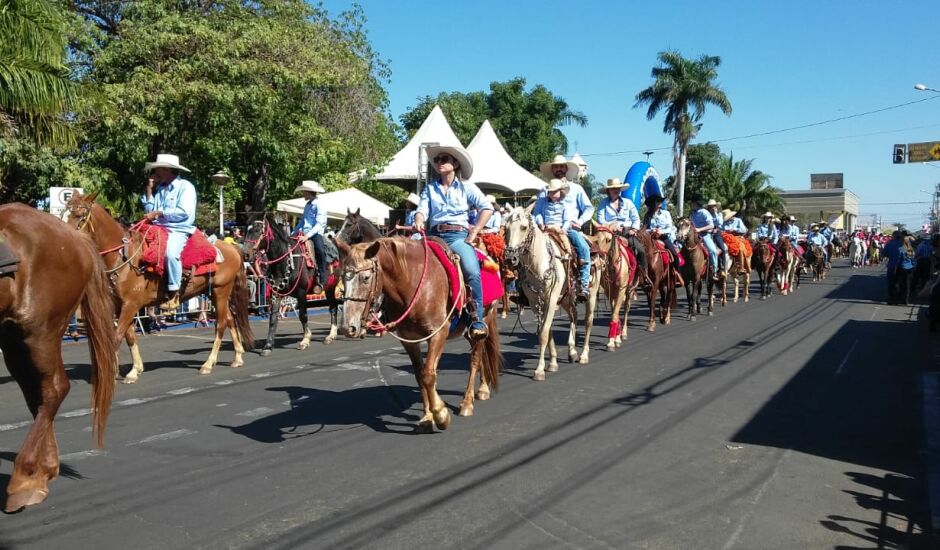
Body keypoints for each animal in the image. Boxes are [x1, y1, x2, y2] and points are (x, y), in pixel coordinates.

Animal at [0, 205, 117, 516]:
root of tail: (75, 237)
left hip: (38, 329)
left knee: (54, 389)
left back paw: (24, 479)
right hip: (13, 336)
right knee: (38, 394)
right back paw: (41, 473)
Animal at [63, 192, 255, 382]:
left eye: (80, 215)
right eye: (64, 214)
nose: (66, 241)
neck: (124, 258)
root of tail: (233, 249)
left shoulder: (131, 305)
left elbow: (117, 336)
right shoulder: (120, 306)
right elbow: (129, 336)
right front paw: (135, 370)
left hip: (221, 291)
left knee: (221, 324)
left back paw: (208, 364)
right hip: (213, 294)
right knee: (230, 319)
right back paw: (237, 357)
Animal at [336, 237, 500, 432]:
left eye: (365, 278)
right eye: (342, 278)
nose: (348, 327)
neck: (413, 284)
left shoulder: (438, 334)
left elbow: (428, 374)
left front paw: (441, 414)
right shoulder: (409, 340)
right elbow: (420, 375)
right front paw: (427, 417)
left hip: (483, 320)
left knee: (475, 358)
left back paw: (468, 402)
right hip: (468, 332)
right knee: (481, 356)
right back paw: (482, 389)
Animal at [504, 209, 600, 382]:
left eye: (523, 227)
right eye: (505, 228)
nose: (510, 258)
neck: (539, 264)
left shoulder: (551, 299)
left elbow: (543, 333)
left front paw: (539, 370)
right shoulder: (536, 303)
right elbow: (547, 330)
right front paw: (553, 363)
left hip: (592, 295)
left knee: (588, 322)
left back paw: (583, 355)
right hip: (566, 298)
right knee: (574, 315)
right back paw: (572, 351)